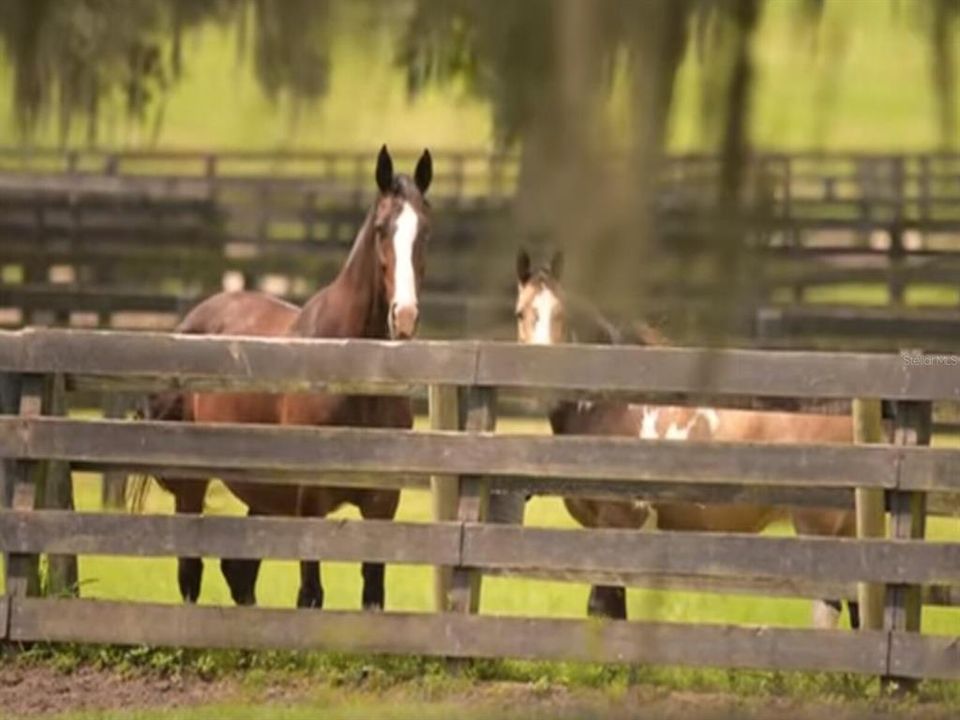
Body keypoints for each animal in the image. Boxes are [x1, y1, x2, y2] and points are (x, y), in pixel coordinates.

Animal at [134, 149, 432, 612]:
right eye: (382, 229)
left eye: (425, 231)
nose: (404, 316)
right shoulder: (309, 500)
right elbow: (310, 595)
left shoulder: (382, 502)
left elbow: (373, 594)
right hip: (193, 486)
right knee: (191, 572)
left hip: (264, 494)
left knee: (238, 573)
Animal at [512, 252, 860, 632]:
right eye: (520, 312)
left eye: (563, 314)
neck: (611, 406)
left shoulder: (618, 523)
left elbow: (602, 608)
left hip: (820, 529)